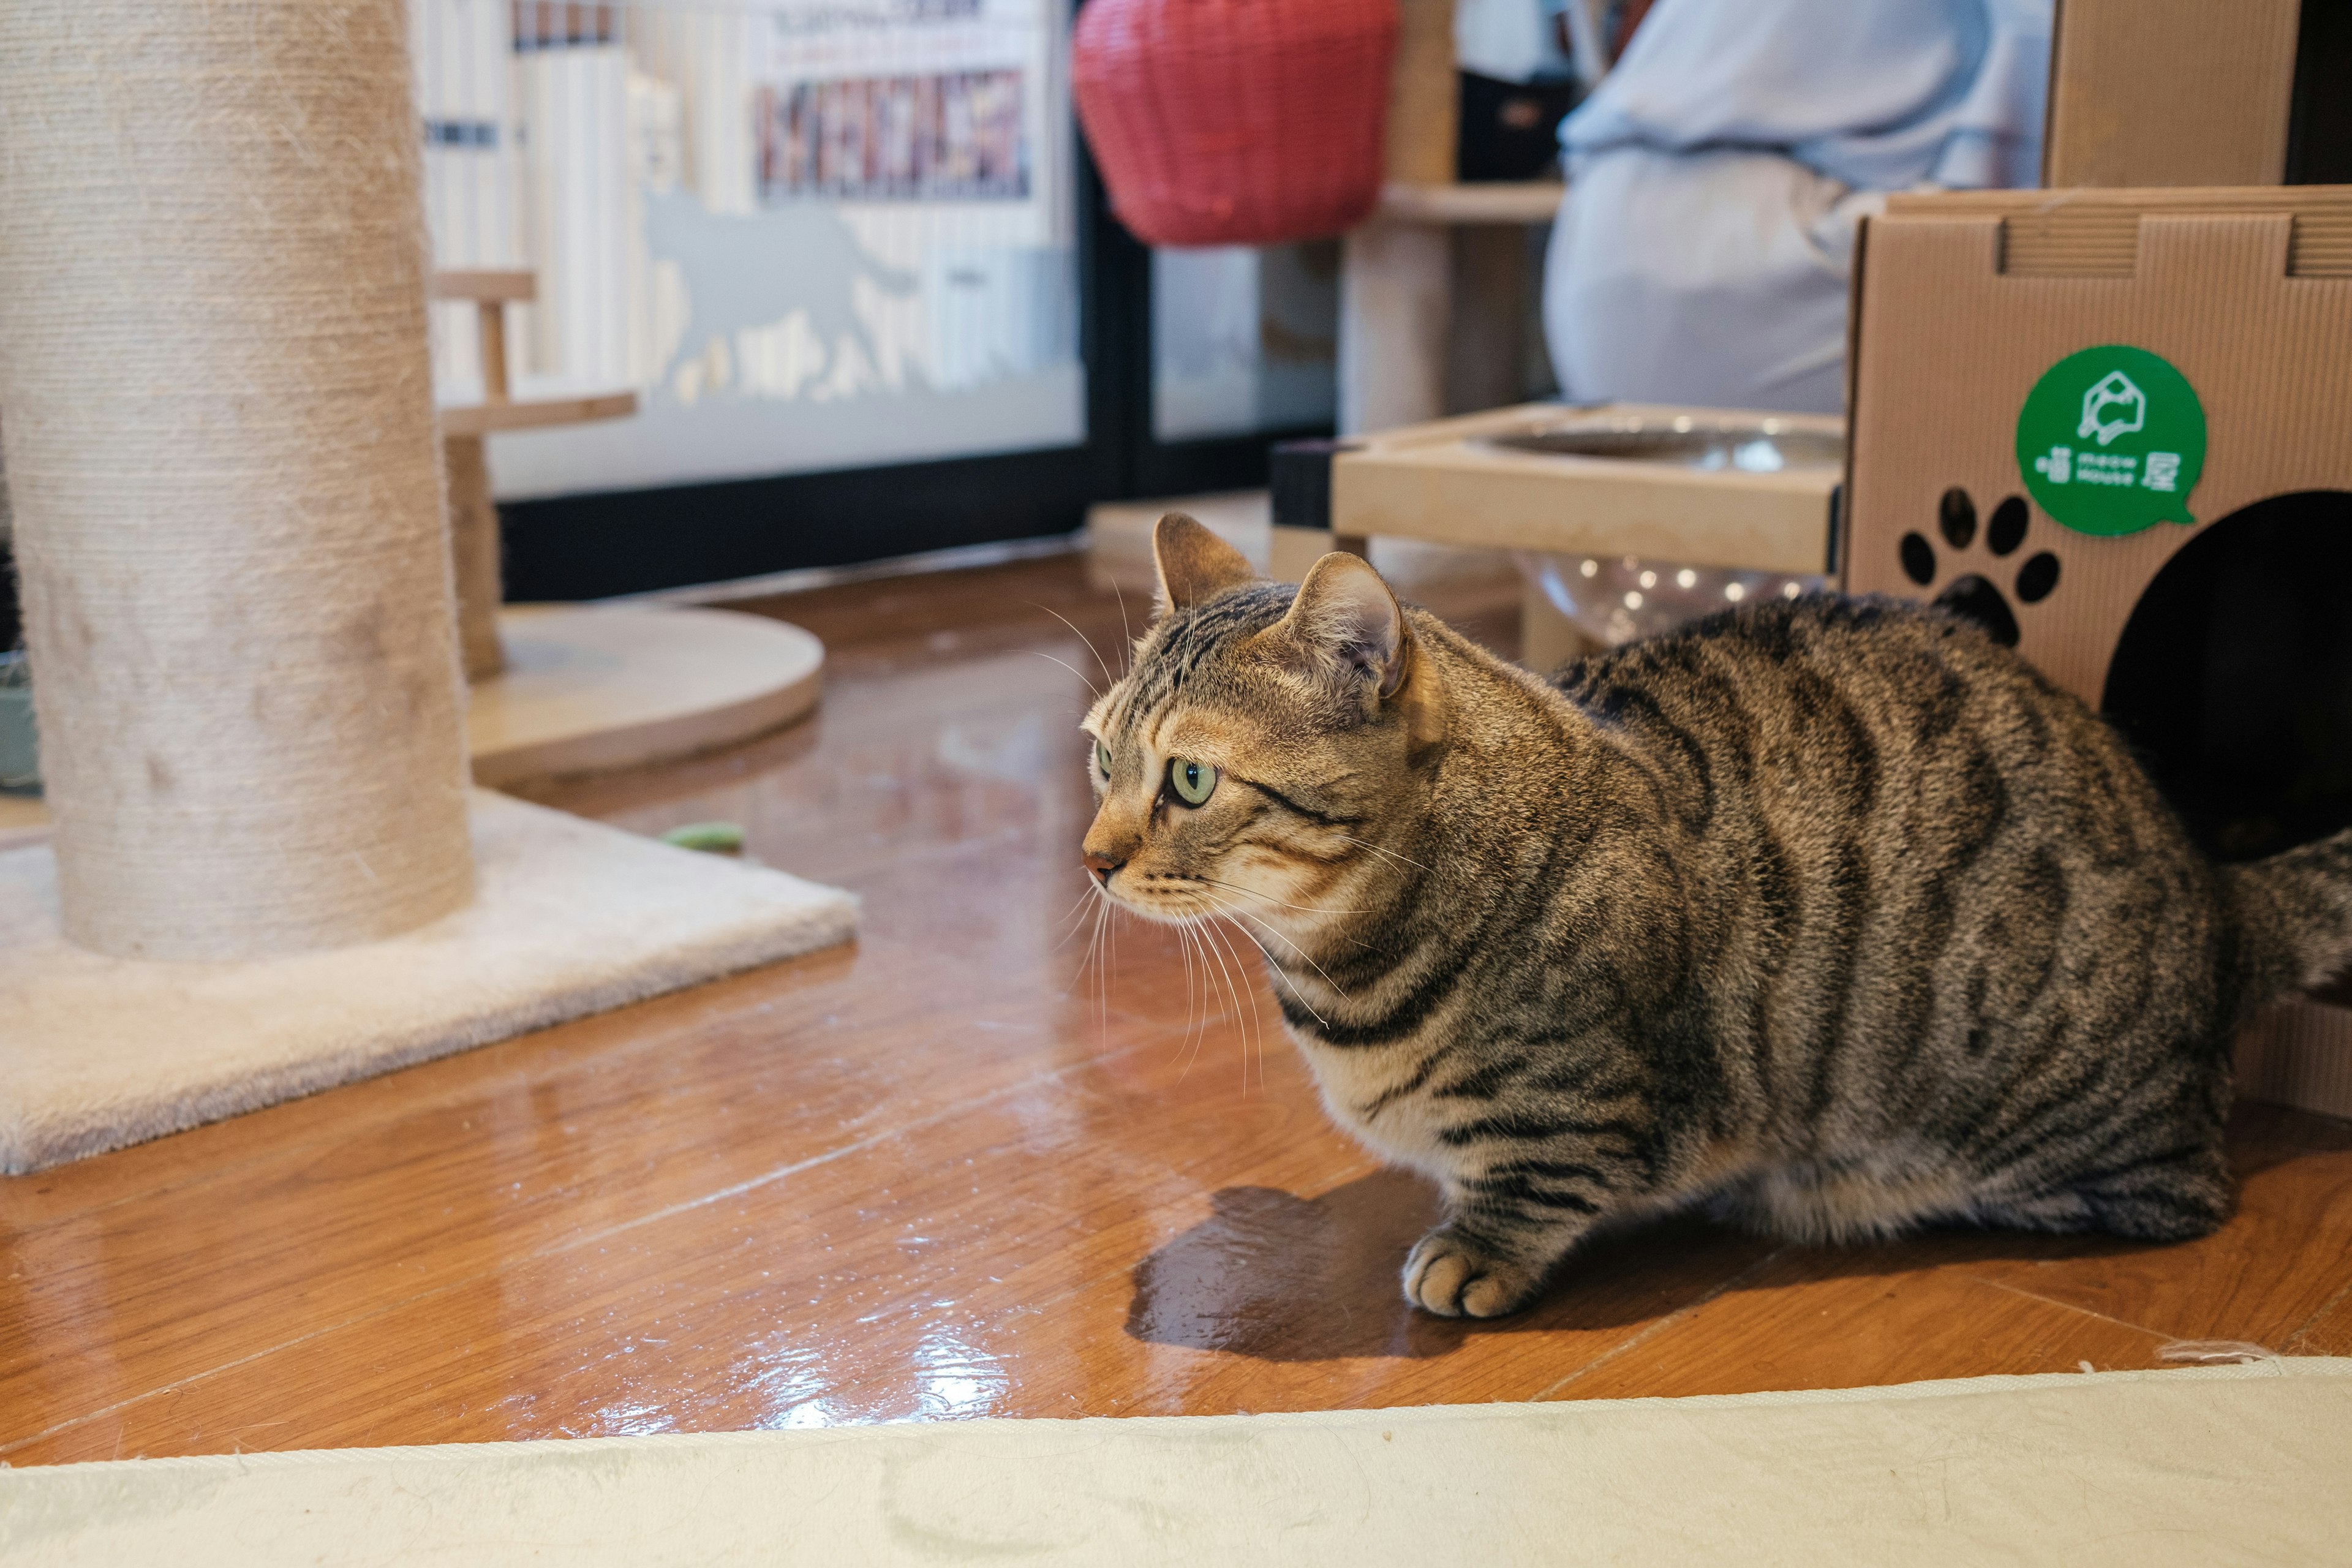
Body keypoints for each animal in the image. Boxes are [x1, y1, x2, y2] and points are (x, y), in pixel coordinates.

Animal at [1077, 512, 2352, 1316]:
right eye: (1101, 758)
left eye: (1190, 779)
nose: (1089, 860)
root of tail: (2221, 896)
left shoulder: (1582, 1099)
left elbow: (1532, 1182)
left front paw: (1474, 1253)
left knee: (2176, 1191)